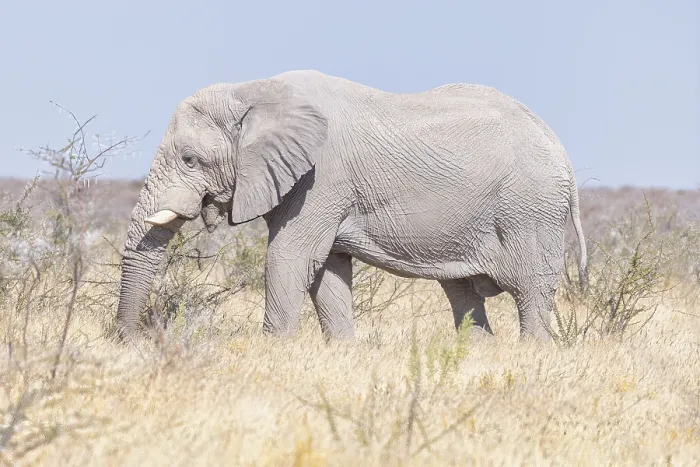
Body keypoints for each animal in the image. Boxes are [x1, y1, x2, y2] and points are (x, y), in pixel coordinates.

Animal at [115, 69, 588, 343]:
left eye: (189, 160)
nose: (130, 340)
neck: (253, 91)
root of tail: (562, 151)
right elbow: (327, 269)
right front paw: (341, 352)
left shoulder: (321, 179)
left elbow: (289, 258)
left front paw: (271, 352)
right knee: (463, 293)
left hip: (530, 210)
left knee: (530, 290)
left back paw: (531, 355)